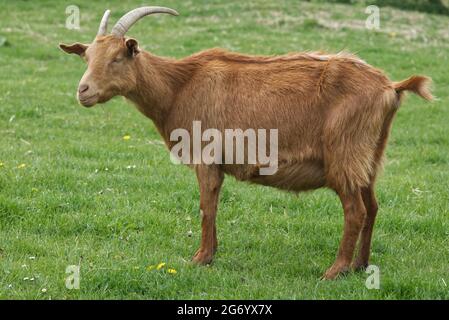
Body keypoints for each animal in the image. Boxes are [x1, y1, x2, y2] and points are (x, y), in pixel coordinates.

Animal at [59, 6, 430, 278]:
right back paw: (360, 265)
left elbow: (207, 206)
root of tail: (390, 87)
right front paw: (209, 254)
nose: (83, 91)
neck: (179, 85)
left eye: (117, 57)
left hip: (345, 156)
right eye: (87, 57)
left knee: (355, 211)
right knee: (373, 207)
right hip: (369, 158)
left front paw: (200, 258)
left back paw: (334, 271)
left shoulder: (206, 157)